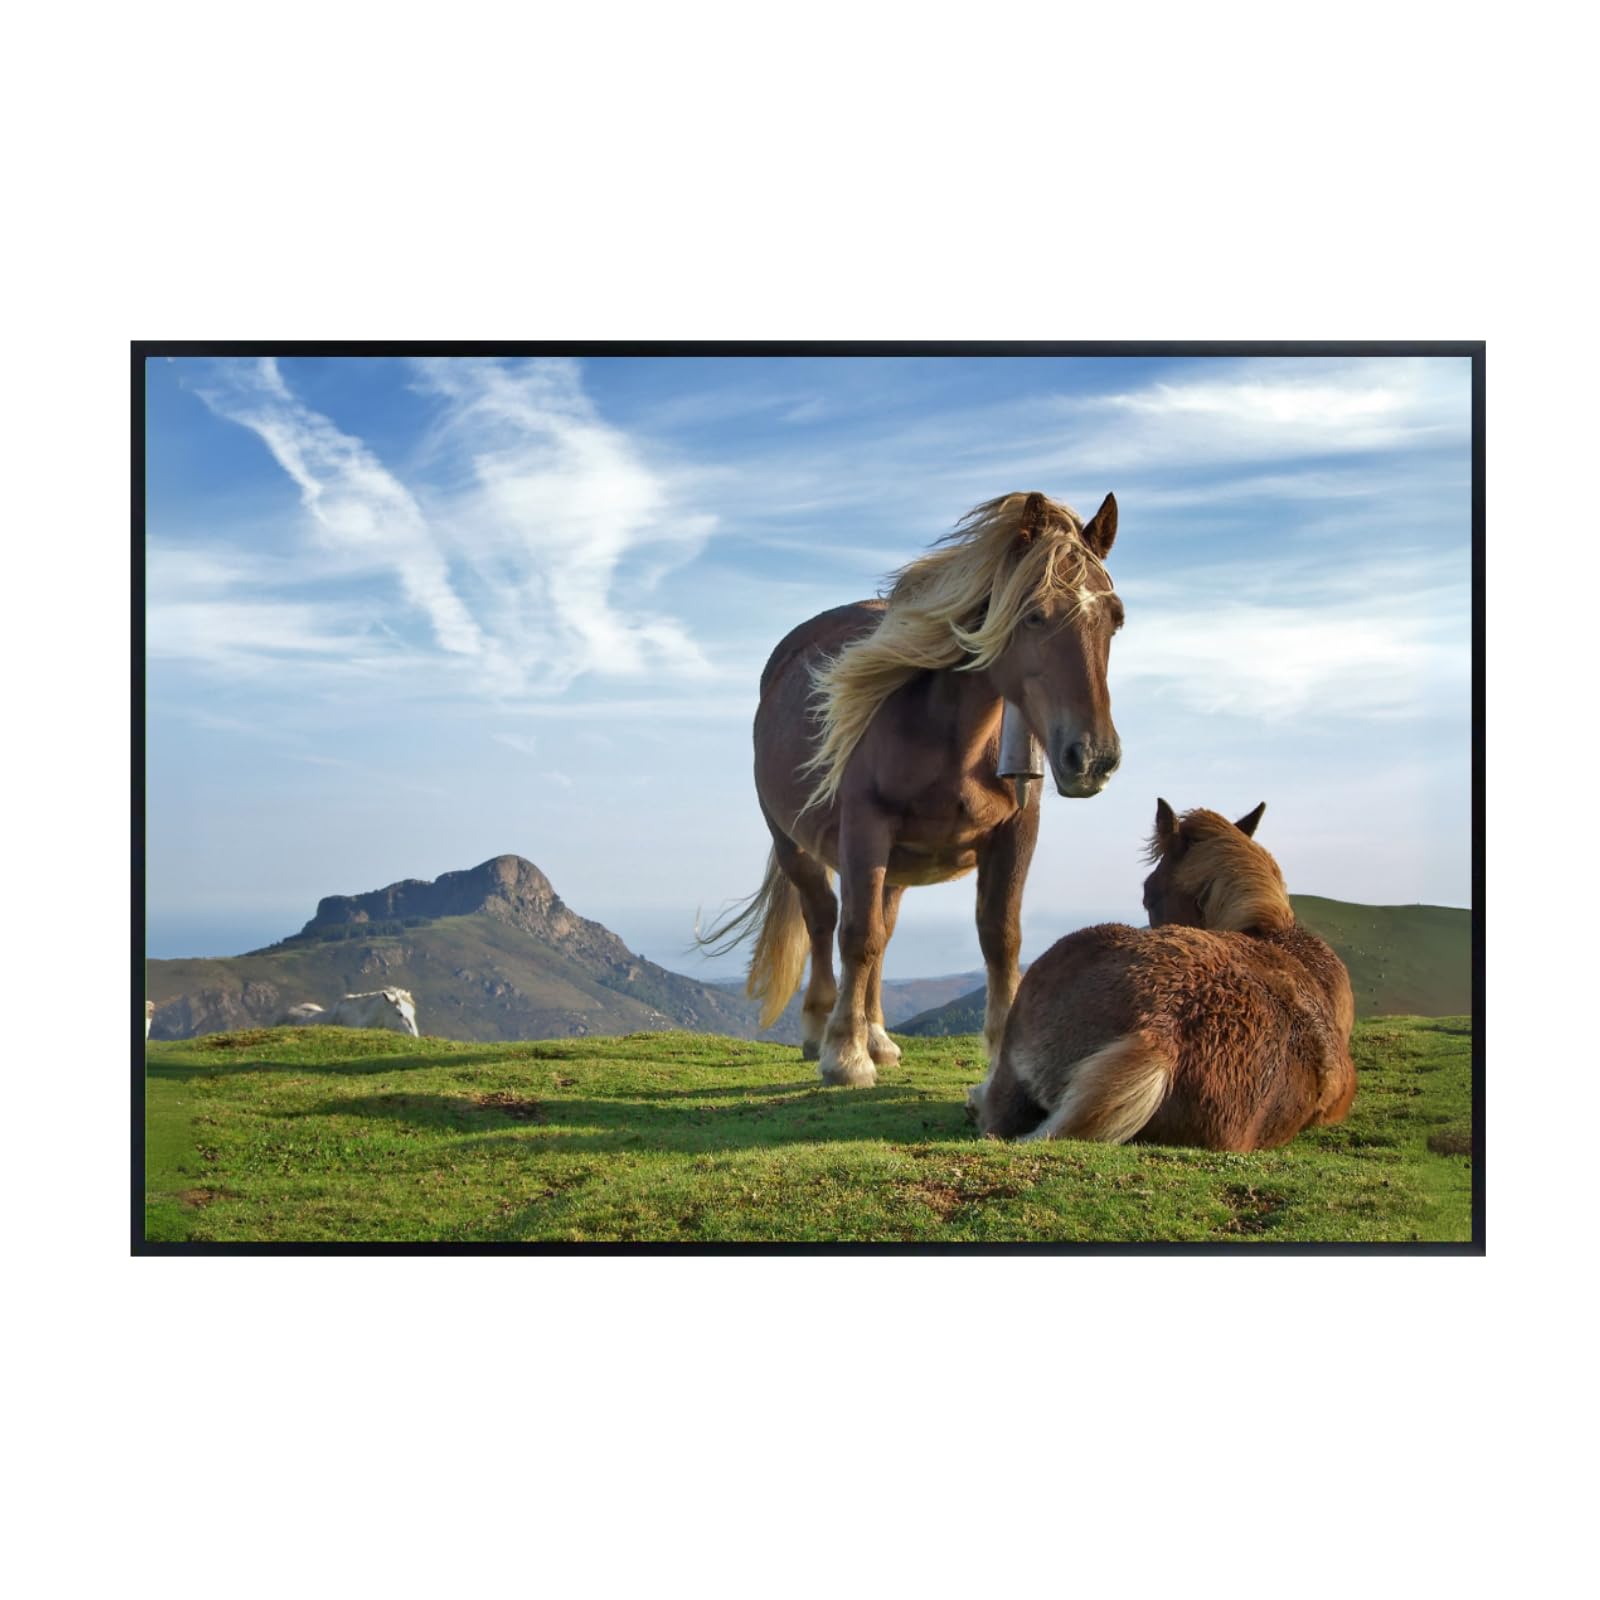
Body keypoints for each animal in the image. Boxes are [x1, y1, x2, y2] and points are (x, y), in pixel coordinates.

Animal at [698, 490, 1123, 1088]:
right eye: (1034, 615)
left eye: (1115, 619)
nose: (1092, 758)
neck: (952, 735)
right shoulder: (864, 828)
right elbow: (856, 934)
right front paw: (845, 1055)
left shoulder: (1016, 832)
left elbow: (1000, 937)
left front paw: (998, 1056)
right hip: (793, 843)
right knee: (824, 918)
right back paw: (821, 1029)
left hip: (899, 862)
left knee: (884, 929)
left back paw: (877, 1035)